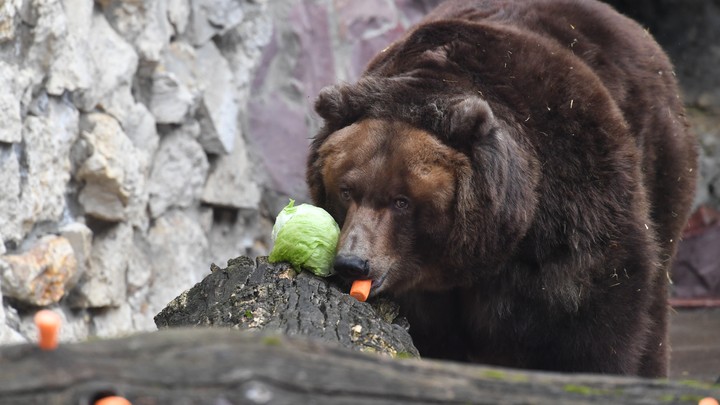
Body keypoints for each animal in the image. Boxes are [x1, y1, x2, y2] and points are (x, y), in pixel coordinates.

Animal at [306, 0, 696, 376]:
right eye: (346, 190)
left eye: (402, 200)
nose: (353, 263)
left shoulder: (572, 204)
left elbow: (594, 319)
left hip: (661, 160)